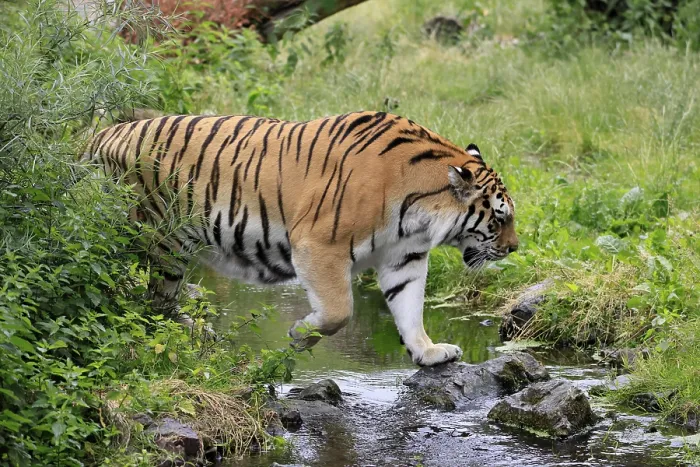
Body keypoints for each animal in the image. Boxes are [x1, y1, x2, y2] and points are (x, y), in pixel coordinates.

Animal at [86, 111, 518, 367]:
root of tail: (98, 136)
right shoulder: (318, 245)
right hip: (159, 239)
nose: (514, 248)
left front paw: (428, 352)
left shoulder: (405, 257)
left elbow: (409, 308)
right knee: (149, 299)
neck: (420, 211)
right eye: (500, 217)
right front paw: (299, 337)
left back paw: (196, 331)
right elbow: (339, 310)